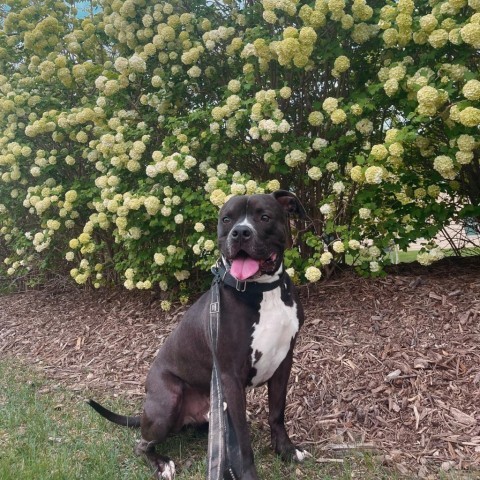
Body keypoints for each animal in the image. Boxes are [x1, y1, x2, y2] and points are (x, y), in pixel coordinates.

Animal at [89, 189, 308, 478]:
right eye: (227, 219)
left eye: (264, 217)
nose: (240, 232)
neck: (262, 289)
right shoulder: (230, 377)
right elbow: (243, 439)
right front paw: (248, 473)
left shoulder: (283, 361)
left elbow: (277, 412)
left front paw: (286, 450)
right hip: (168, 401)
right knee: (142, 445)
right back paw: (161, 463)